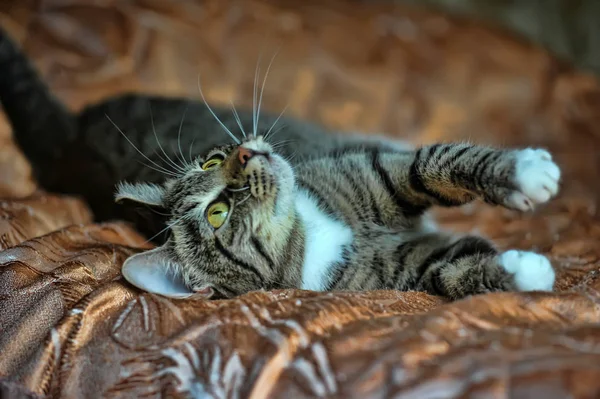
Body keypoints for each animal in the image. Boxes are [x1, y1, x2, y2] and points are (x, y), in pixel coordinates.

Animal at [0, 26, 556, 300]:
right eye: (216, 214)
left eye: (213, 159)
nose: (245, 152)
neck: (311, 230)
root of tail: (68, 139)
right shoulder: (406, 270)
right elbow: (455, 274)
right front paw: (528, 271)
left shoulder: (373, 175)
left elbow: (434, 163)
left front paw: (524, 172)